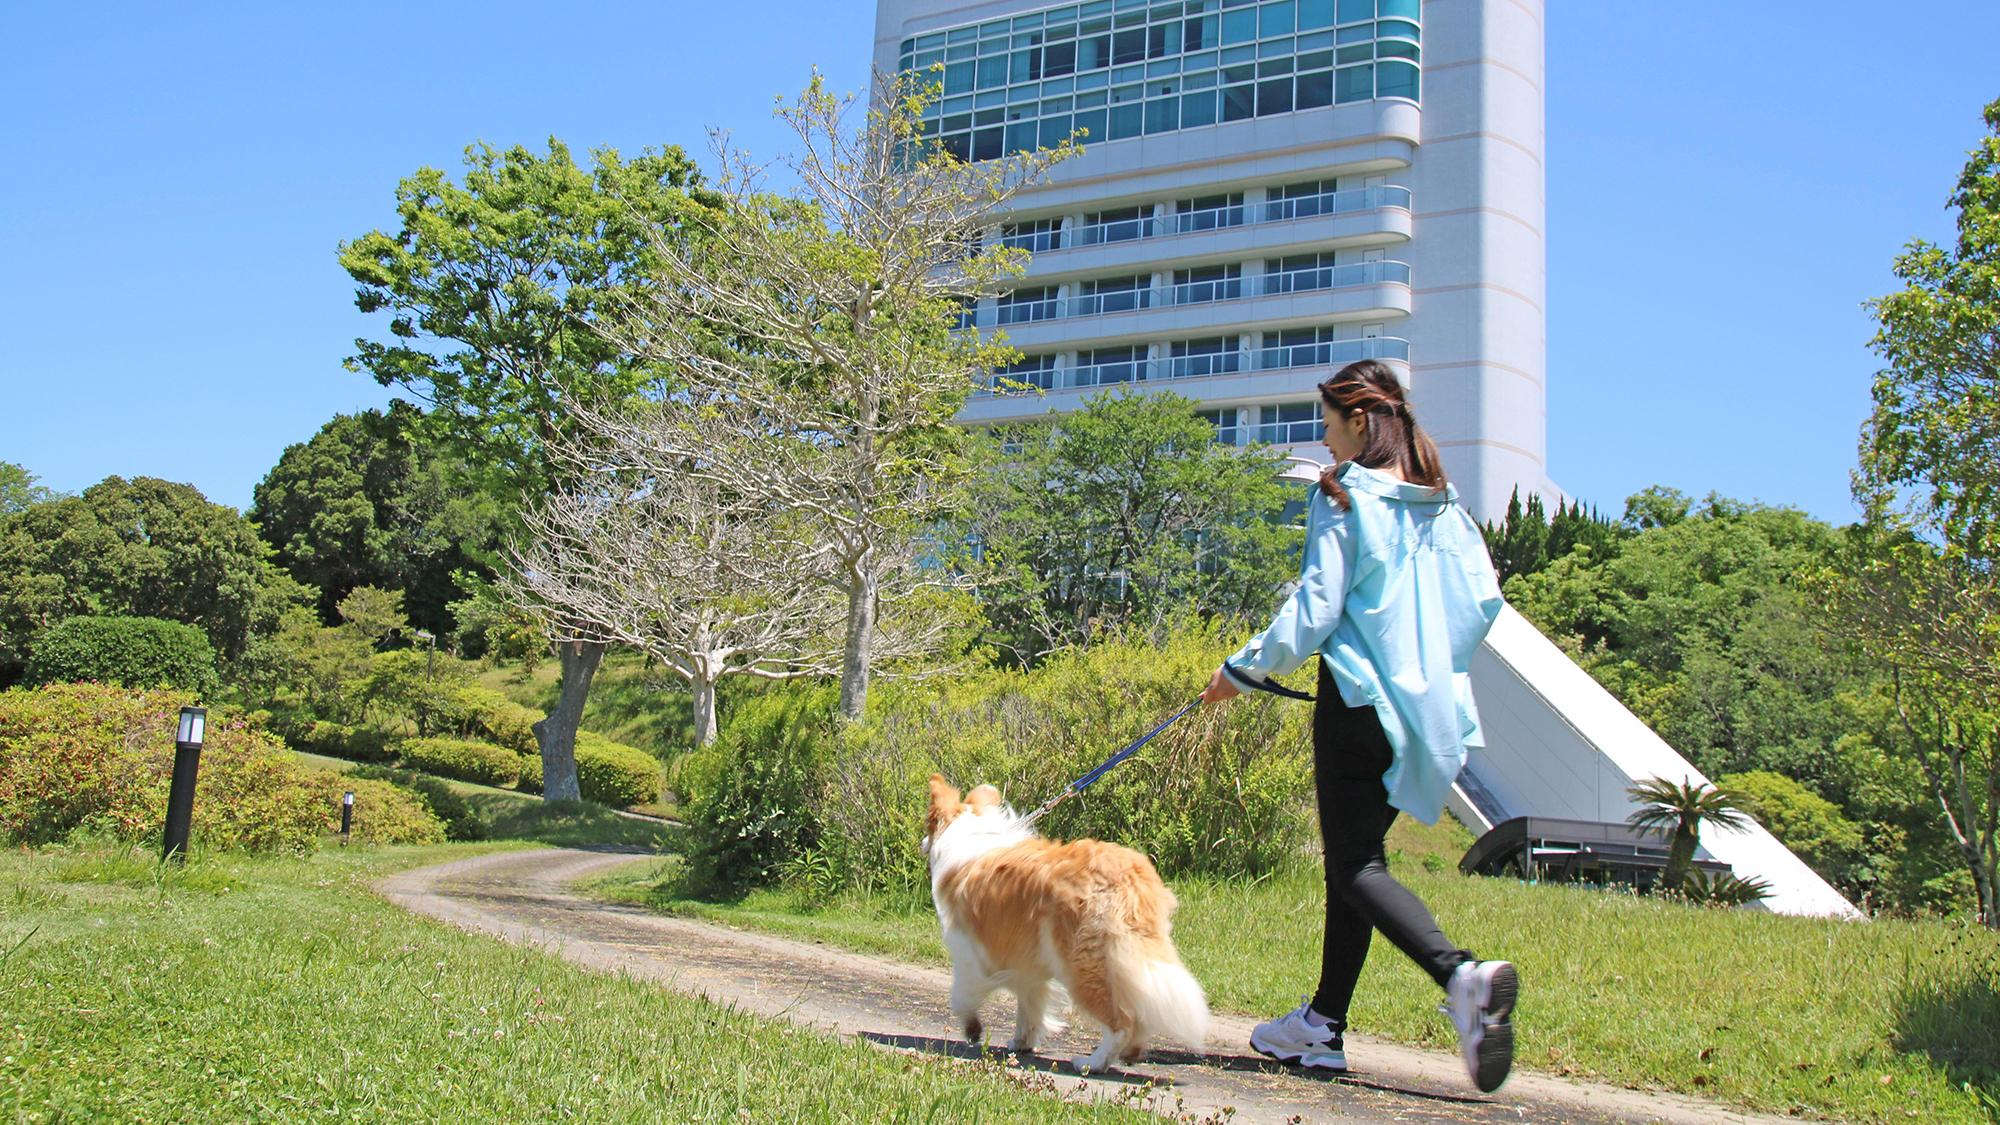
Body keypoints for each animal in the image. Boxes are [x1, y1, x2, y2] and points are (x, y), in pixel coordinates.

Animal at [916, 768, 1200, 1064]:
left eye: (927, 828)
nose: (920, 843)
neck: (969, 833)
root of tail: (1129, 880)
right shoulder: (1027, 965)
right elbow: (1029, 1006)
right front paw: (1022, 1042)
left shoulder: (968, 951)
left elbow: (961, 995)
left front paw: (972, 1029)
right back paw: (1130, 1052)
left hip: (1081, 965)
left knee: (1121, 1023)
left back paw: (1093, 1062)